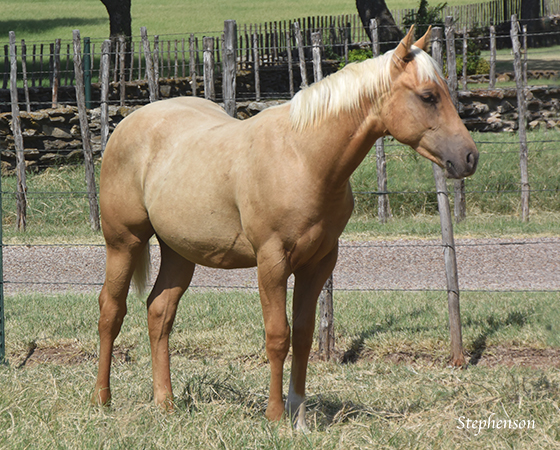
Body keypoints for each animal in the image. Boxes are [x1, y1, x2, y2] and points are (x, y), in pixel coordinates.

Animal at [92, 27, 476, 428]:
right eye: (428, 96)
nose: (469, 157)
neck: (303, 158)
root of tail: (127, 124)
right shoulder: (272, 262)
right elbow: (278, 335)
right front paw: (275, 414)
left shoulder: (319, 263)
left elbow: (304, 335)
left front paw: (300, 413)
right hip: (124, 243)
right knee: (111, 311)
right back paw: (102, 399)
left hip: (179, 251)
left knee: (159, 312)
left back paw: (165, 402)